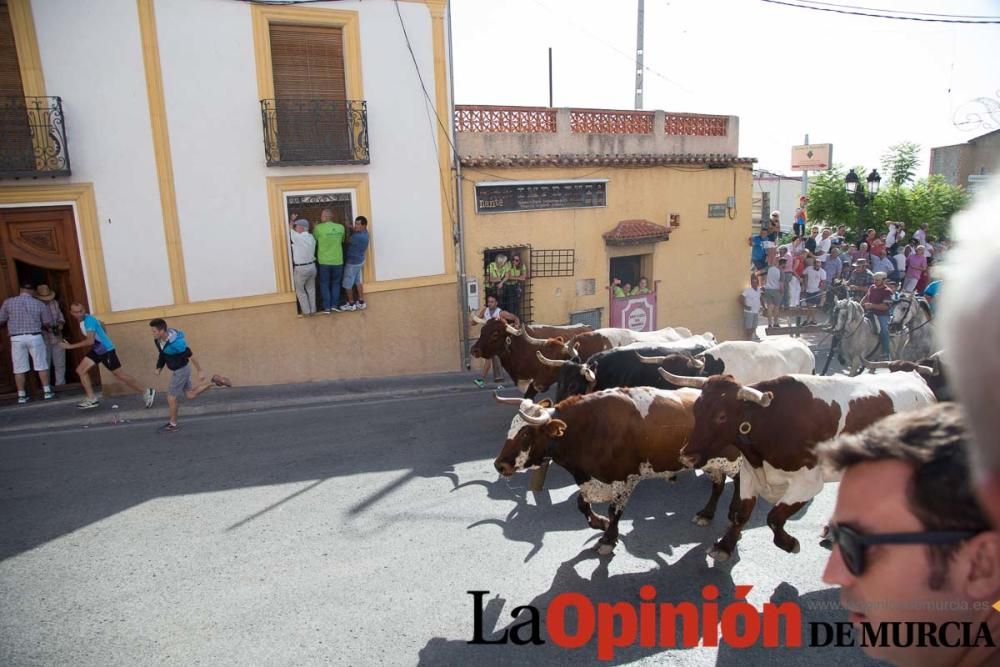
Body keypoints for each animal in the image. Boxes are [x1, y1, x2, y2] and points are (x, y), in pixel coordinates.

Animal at [494, 388, 744, 556]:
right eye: (510, 427)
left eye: (526, 433)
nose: (499, 464)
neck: (589, 428)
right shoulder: (592, 480)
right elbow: (582, 504)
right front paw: (601, 523)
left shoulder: (625, 480)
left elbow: (615, 511)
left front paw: (608, 539)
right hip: (711, 463)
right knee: (718, 484)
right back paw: (707, 514)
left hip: (735, 463)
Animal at [664, 370, 936, 564]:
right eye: (696, 409)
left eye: (721, 416)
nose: (687, 456)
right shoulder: (751, 473)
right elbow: (742, 514)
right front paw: (724, 546)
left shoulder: (808, 483)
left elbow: (774, 517)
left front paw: (788, 543)